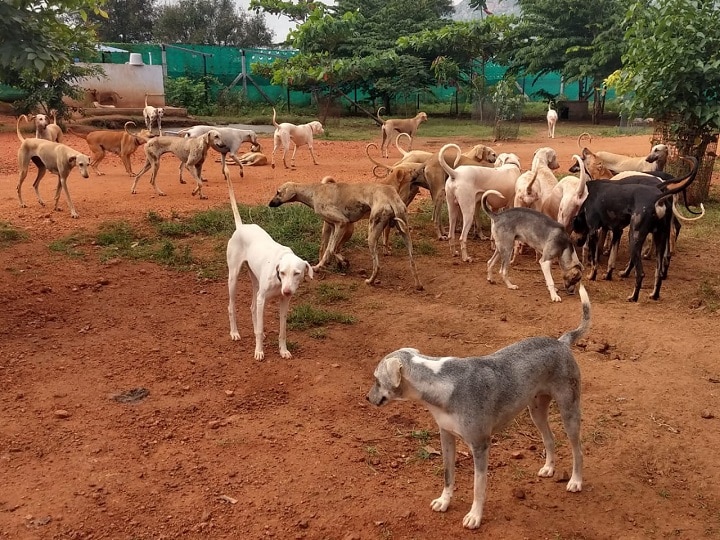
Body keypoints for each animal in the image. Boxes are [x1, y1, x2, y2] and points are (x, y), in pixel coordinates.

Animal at [225, 165, 316, 358]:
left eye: (297, 273)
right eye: (282, 272)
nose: (287, 291)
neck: (278, 280)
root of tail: (241, 227)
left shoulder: (284, 302)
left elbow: (282, 330)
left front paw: (283, 350)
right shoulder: (263, 299)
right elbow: (260, 329)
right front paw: (259, 351)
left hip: (255, 280)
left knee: (252, 307)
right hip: (233, 278)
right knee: (231, 306)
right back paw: (235, 332)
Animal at [268, 177, 422, 288]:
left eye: (278, 192)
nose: (269, 204)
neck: (314, 191)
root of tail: (390, 195)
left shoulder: (342, 223)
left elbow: (331, 249)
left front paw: (334, 263)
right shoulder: (332, 226)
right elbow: (329, 249)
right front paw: (328, 264)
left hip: (372, 236)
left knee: (377, 265)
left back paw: (370, 281)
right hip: (405, 233)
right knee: (413, 262)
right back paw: (418, 285)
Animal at [366, 284, 592, 528]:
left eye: (376, 380)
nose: (367, 398)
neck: (442, 383)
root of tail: (561, 341)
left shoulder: (480, 445)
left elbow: (478, 487)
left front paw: (474, 516)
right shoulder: (446, 436)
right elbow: (448, 475)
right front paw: (444, 502)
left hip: (569, 412)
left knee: (578, 450)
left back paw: (576, 481)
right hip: (536, 412)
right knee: (550, 439)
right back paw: (549, 468)